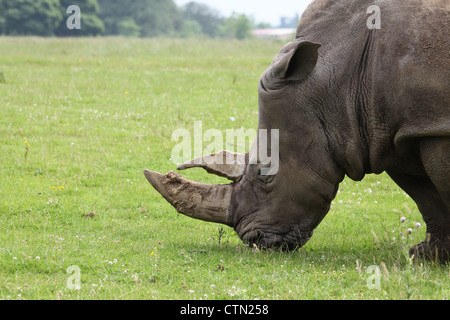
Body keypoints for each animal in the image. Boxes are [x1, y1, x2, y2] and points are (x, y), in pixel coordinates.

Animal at [145, 0, 450, 260]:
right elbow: (426, 197)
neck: (342, 78)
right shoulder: (394, 132)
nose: (255, 241)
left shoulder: (430, 126)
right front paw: (427, 256)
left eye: (265, 173)